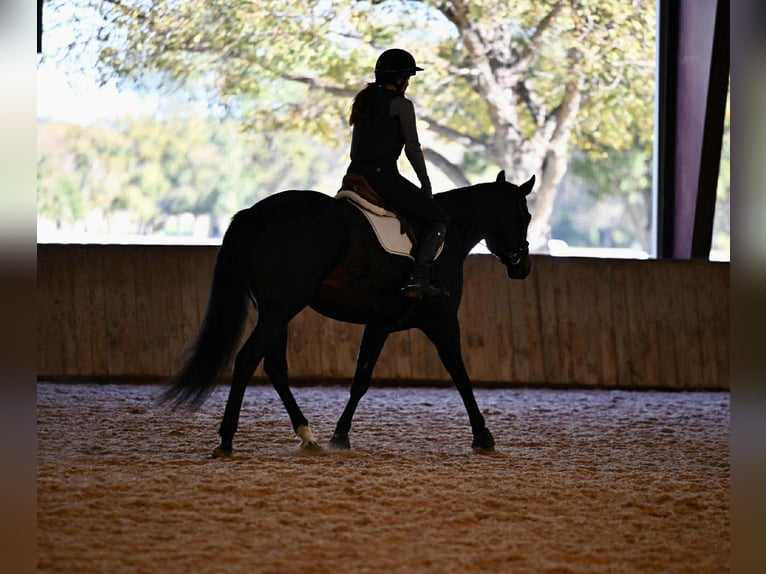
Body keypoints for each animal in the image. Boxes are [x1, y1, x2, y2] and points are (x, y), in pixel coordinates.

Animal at [162, 171, 534, 456]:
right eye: (526, 217)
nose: (523, 268)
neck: (448, 236)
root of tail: (258, 213)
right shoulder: (441, 322)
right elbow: (460, 375)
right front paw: (483, 436)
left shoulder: (379, 325)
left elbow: (361, 380)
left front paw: (340, 435)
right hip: (279, 311)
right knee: (247, 360)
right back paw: (227, 440)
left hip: (276, 313)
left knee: (275, 368)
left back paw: (307, 435)